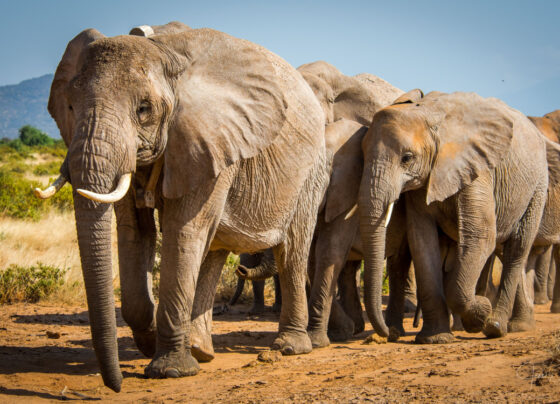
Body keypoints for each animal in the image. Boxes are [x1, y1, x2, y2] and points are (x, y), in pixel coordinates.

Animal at [35, 25, 330, 392]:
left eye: (144, 109)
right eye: (71, 106)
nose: (116, 385)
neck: (163, 53)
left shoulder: (212, 140)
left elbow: (182, 230)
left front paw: (170, 370)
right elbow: (135, 232)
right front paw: (149, 342)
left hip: (311, 172)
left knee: (291, 250)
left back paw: (289, 347)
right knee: (214, 249)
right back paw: (200, 350)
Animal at [360, 89, 548, 344]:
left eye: (407, 158)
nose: (390, 335)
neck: (428, 114)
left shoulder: (477, 168)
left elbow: (481, 235)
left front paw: (481, 312)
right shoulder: (423, 183)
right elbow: (422, 241)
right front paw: (435, 339)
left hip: (537, 186)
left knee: (516, 249)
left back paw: (495, 327)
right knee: (498, 249)